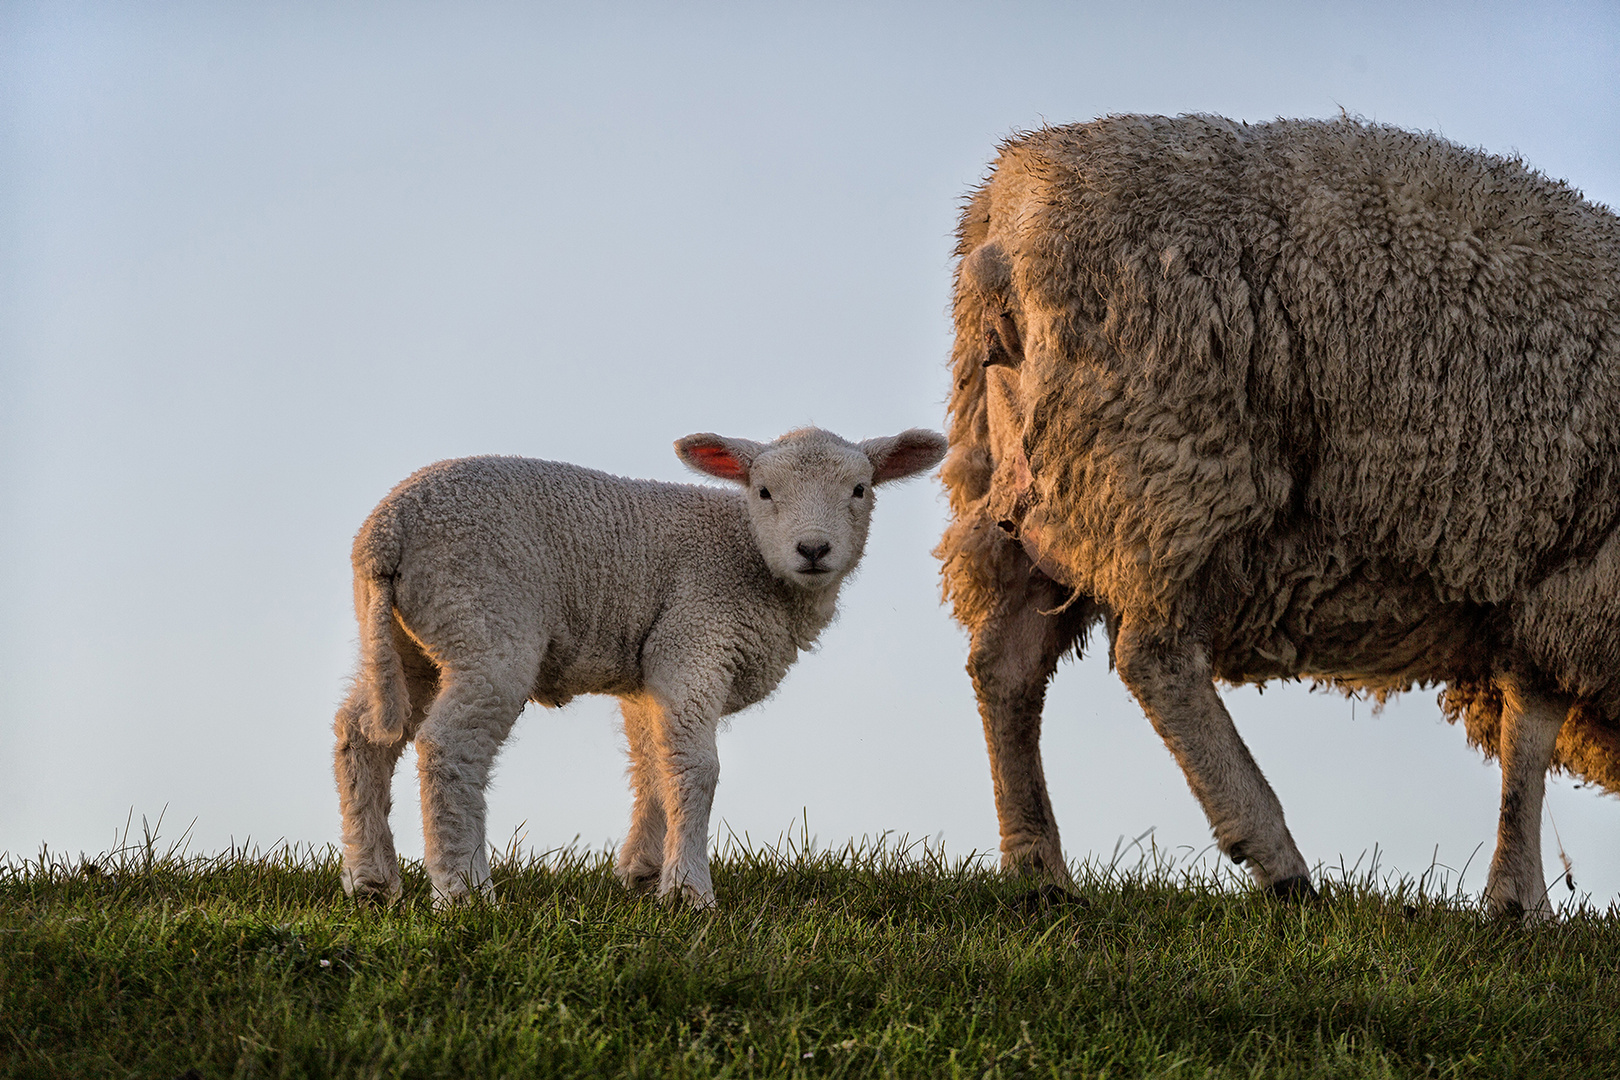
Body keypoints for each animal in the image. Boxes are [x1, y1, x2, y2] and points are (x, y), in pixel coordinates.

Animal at [333, 427, 946, 906]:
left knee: (360, 734)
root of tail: (387, 532)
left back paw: (371, 881)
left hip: (407, 637)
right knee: (448, 746)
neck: (747, 551)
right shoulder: (694, 638)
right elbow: (696, 767)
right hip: (486, 621)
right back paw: (465, 891)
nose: (814, 549)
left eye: (860, 489)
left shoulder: (649, 675)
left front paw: (643, 872)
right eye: (765, 491)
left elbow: (653, 762)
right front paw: (689, 891)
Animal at [939, 114, 1620, 919]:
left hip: (1024, 488)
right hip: (1161, 464)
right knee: (1156, 660)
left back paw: (1038, 865)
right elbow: (1531, 732)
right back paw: (1277, 857)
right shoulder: (1577, 573)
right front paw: (1523, 901)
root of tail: (1007, 218)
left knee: (1005, 667)